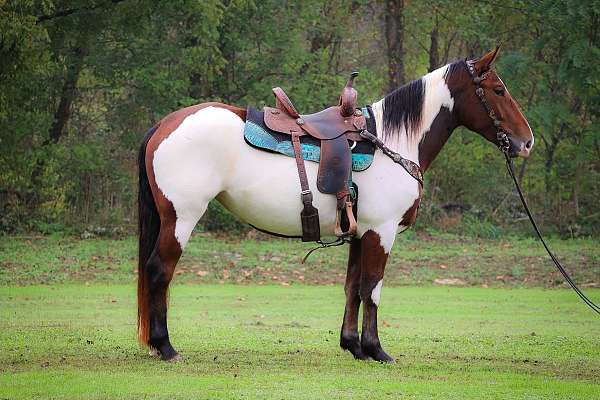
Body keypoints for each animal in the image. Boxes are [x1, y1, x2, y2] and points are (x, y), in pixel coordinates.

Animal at [137, 47, 536, 362]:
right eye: (498, 90)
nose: (527, 142)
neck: (393, 143)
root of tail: (165, 124)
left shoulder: (362, 233)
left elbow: (353, 287)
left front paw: (353, 346)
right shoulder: (381, 232)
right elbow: (372, 288)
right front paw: (376, 349)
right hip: (181, 219)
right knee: (159, 271)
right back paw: (166, 347)